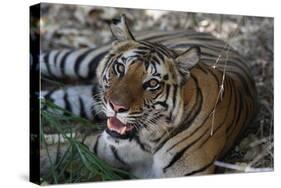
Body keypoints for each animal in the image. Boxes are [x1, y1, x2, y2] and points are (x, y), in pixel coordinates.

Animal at [40, 14, 258, 178]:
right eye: (120, 68)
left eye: (152, 83)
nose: (115, 106)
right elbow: (50, 155)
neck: (148, 141)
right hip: (82, 60)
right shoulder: (88, 148)